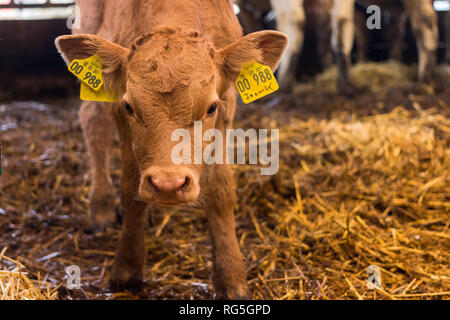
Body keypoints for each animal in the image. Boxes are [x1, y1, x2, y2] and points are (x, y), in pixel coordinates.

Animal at [55, 0, 288, 300]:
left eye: (211, 107)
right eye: (130, 107)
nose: (168, 184)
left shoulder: (227, 105)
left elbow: (221, 189)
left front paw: (231, 277)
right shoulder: (118, 109)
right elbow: (130, 188)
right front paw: (127, 267)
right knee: (93, 121)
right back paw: (101, 207)